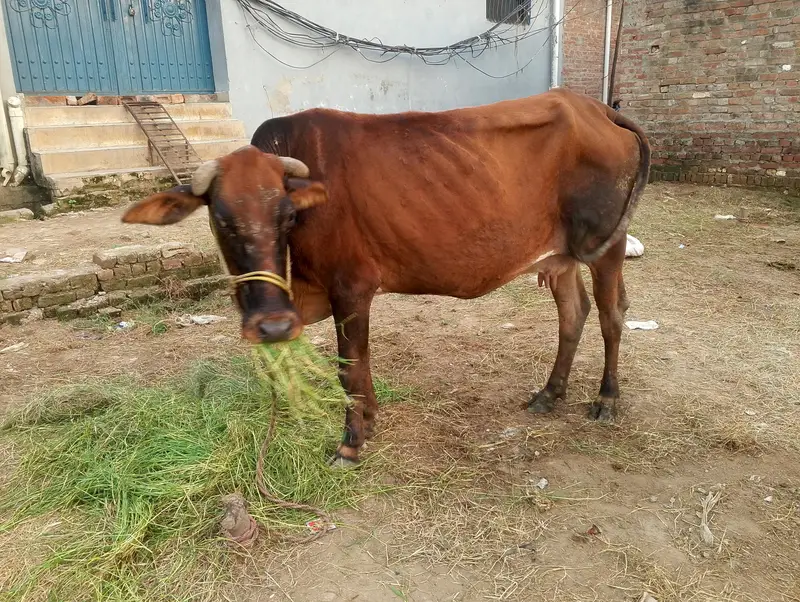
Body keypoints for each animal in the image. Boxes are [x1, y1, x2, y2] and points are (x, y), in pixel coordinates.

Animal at [121, 88, 650, 467]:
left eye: (288, 216)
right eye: (221, 220)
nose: (272, 326)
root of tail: (593, 107)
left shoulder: (350, 287)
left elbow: (349, 367)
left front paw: (350, 442)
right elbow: (361, 364)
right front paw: (369, 420)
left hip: (606, 247)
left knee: (611, 315)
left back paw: (606, 399)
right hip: (561, 257)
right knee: (573, 314)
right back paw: (549, 394)